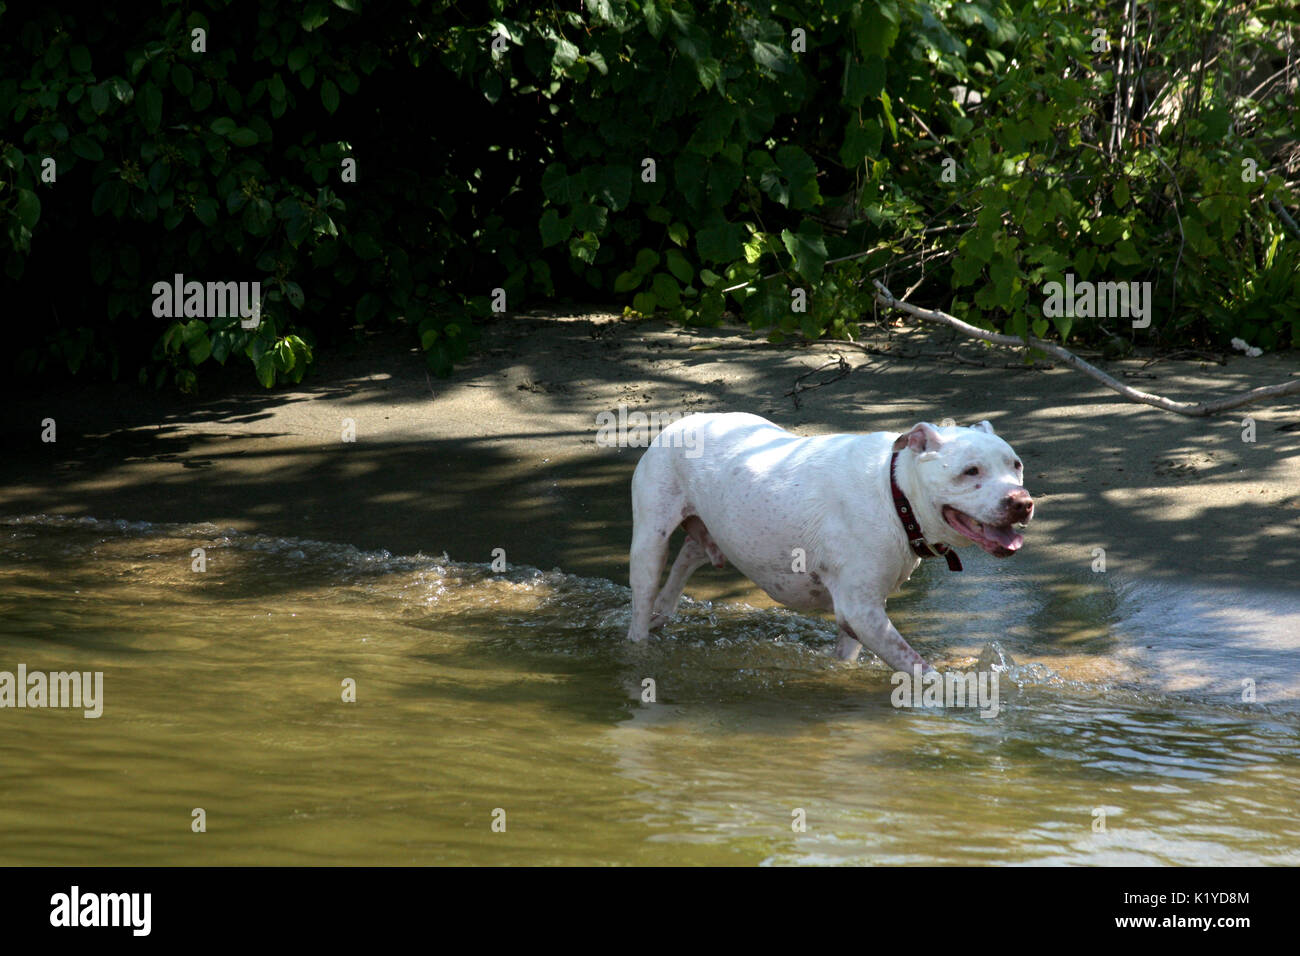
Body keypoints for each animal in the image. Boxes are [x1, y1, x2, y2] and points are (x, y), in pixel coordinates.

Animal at [624, 413, 1029, 671]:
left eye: (1016, 465)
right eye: (970, 471)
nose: (1023, 503)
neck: (896, 494)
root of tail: (681, 423)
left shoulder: (861, 611)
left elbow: (849, 654)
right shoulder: (862, 610)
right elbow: (919, 668)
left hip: (718, 527)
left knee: (691, 552)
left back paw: (665, 608)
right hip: (649, 542)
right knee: (643, 602)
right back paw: (641, 639)